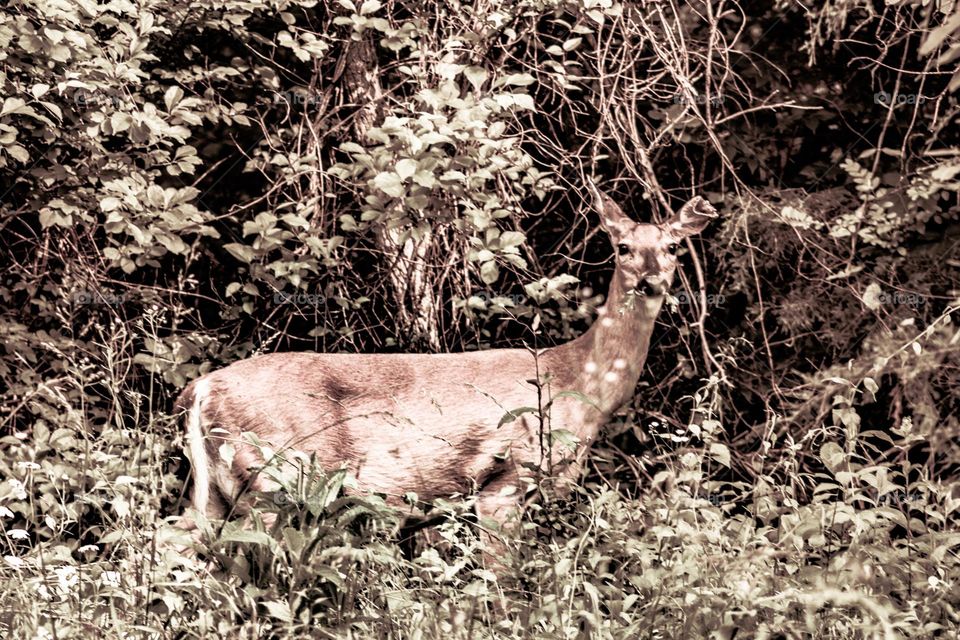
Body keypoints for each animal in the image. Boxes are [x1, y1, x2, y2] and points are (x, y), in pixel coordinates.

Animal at [173, 181, 717, 559]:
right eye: (623, 247)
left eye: (671, 248)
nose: (650, 281)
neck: (578, 384)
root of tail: (200, 389)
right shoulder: (505, 480)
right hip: (273, 476)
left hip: (219, 487)